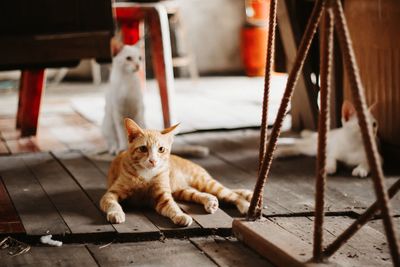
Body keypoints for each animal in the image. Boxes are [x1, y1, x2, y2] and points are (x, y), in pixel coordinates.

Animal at [98, 119, 252, 226]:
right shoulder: (111, 194)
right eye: (143, 149)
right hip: (182, 190)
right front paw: (116, 213)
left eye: (161, 149)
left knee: (232, 194)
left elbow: (173, 207)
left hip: (204, 182)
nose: (153, 161)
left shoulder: (163, 196)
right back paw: (210, 202)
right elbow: (112, 203)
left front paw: (180, 215)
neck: (146, 174)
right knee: (200, 194)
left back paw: (246, 206)